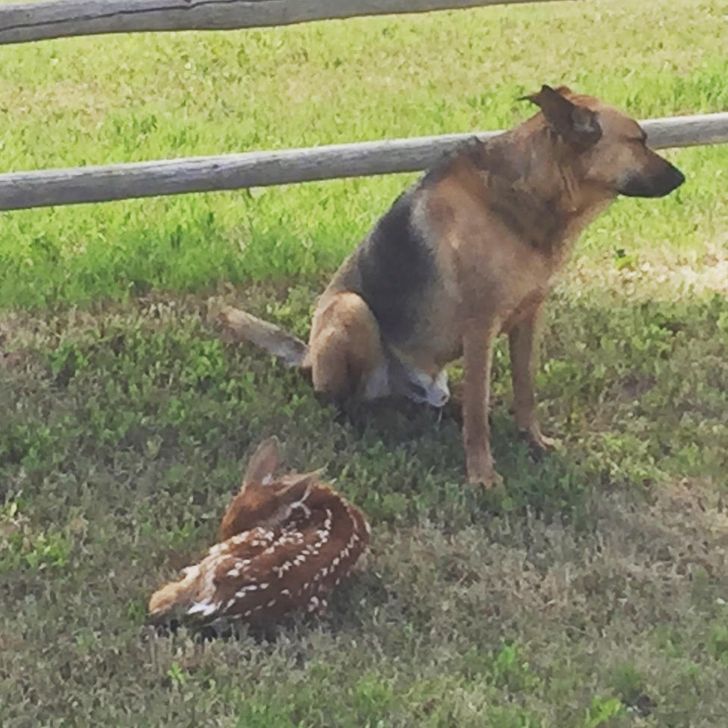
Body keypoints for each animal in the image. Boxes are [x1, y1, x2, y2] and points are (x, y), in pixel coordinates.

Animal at [220, 85, 684, 486]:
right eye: (639, 140)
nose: (683, 178)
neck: (528, 192)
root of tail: (308, 356)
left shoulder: (529, 317)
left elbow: (525, 389)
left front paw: (533, 440)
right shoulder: (481, 328)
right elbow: (479, 415)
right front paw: (482, 476)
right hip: (351, 309)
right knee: (339, 400)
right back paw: (367, 421)